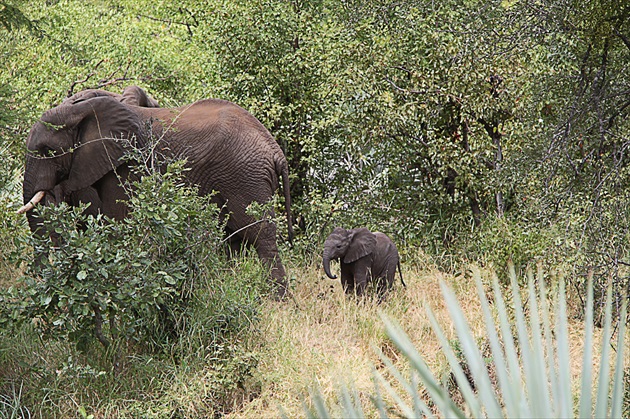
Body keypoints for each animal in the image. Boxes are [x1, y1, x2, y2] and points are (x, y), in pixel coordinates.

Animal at [18, 88, 296, 298]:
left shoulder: (127, 166)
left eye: (47, 150)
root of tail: (276, 151)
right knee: (235, 240)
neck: (83, 110)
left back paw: (276, 301)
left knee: (261, 237)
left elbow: (117, 221)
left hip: (246, 177)